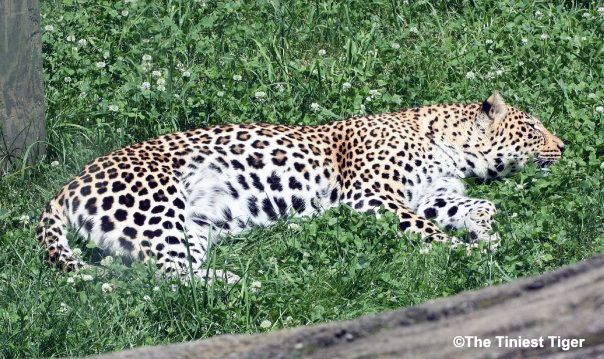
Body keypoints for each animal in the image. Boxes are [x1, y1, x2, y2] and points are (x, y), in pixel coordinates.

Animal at [36, 91, 568, 282]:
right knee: (164, 279)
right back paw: (242, 284)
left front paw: (488, 231)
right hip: (157, 210)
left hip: (192, 226)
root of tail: (65, 185)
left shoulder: (432, 193)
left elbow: (477, 205)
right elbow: (429, 230)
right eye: (533, 127)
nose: (564, 146)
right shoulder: (373, 194)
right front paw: (470, 251)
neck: (448, 145)